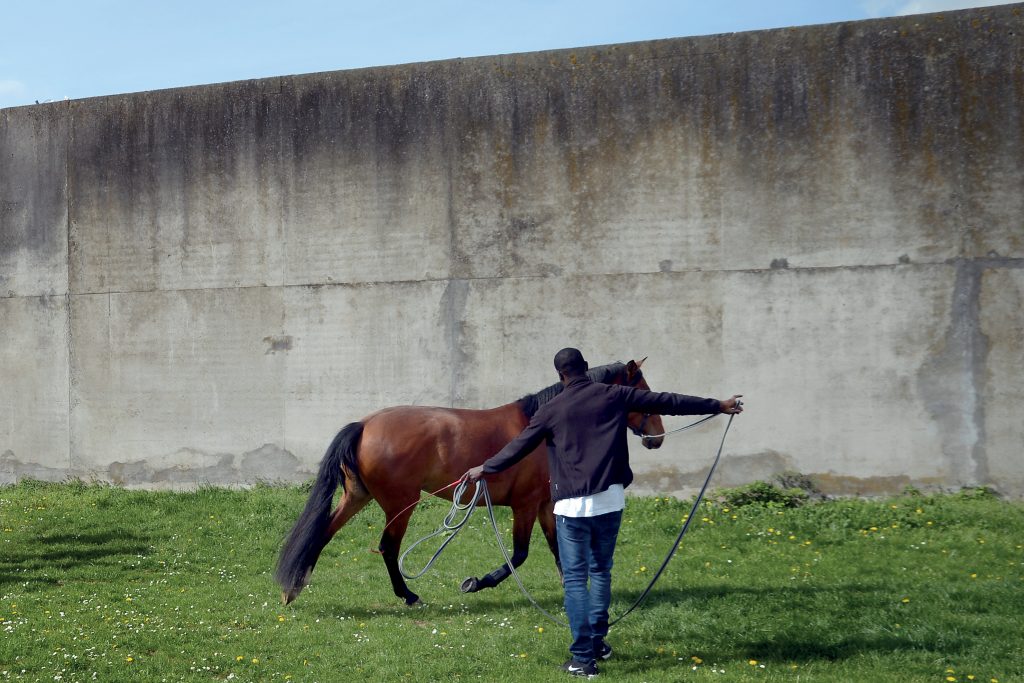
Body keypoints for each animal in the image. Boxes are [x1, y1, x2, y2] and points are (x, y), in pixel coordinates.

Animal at [275, 358, 666, 606]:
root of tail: (364, 425)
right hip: (401, 504)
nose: (658, 436)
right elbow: (519, 555)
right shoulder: (525, 505)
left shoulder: (544, 505)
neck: (544, 426)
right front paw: (477, 583)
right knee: (387, 547)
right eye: (642, 390)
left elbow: (558, 550)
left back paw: (294, 588)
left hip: (358, 497)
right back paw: (409, 596)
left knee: (324, 533)